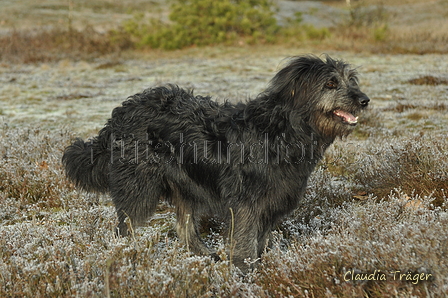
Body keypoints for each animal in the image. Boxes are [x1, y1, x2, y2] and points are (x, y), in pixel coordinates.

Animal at [64, 54, 372, 272]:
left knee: (184, 227)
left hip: (185, 183)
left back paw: (203, 256)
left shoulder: (271, 202)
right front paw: (245, 274)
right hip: (139, 184)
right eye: (330, 83)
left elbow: (260, 240)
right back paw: (126, 256)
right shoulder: (246, 203)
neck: (283, 129)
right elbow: (245, 242)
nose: (365, 100)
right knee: (124, 227)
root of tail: (120, 113)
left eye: (351, 80)